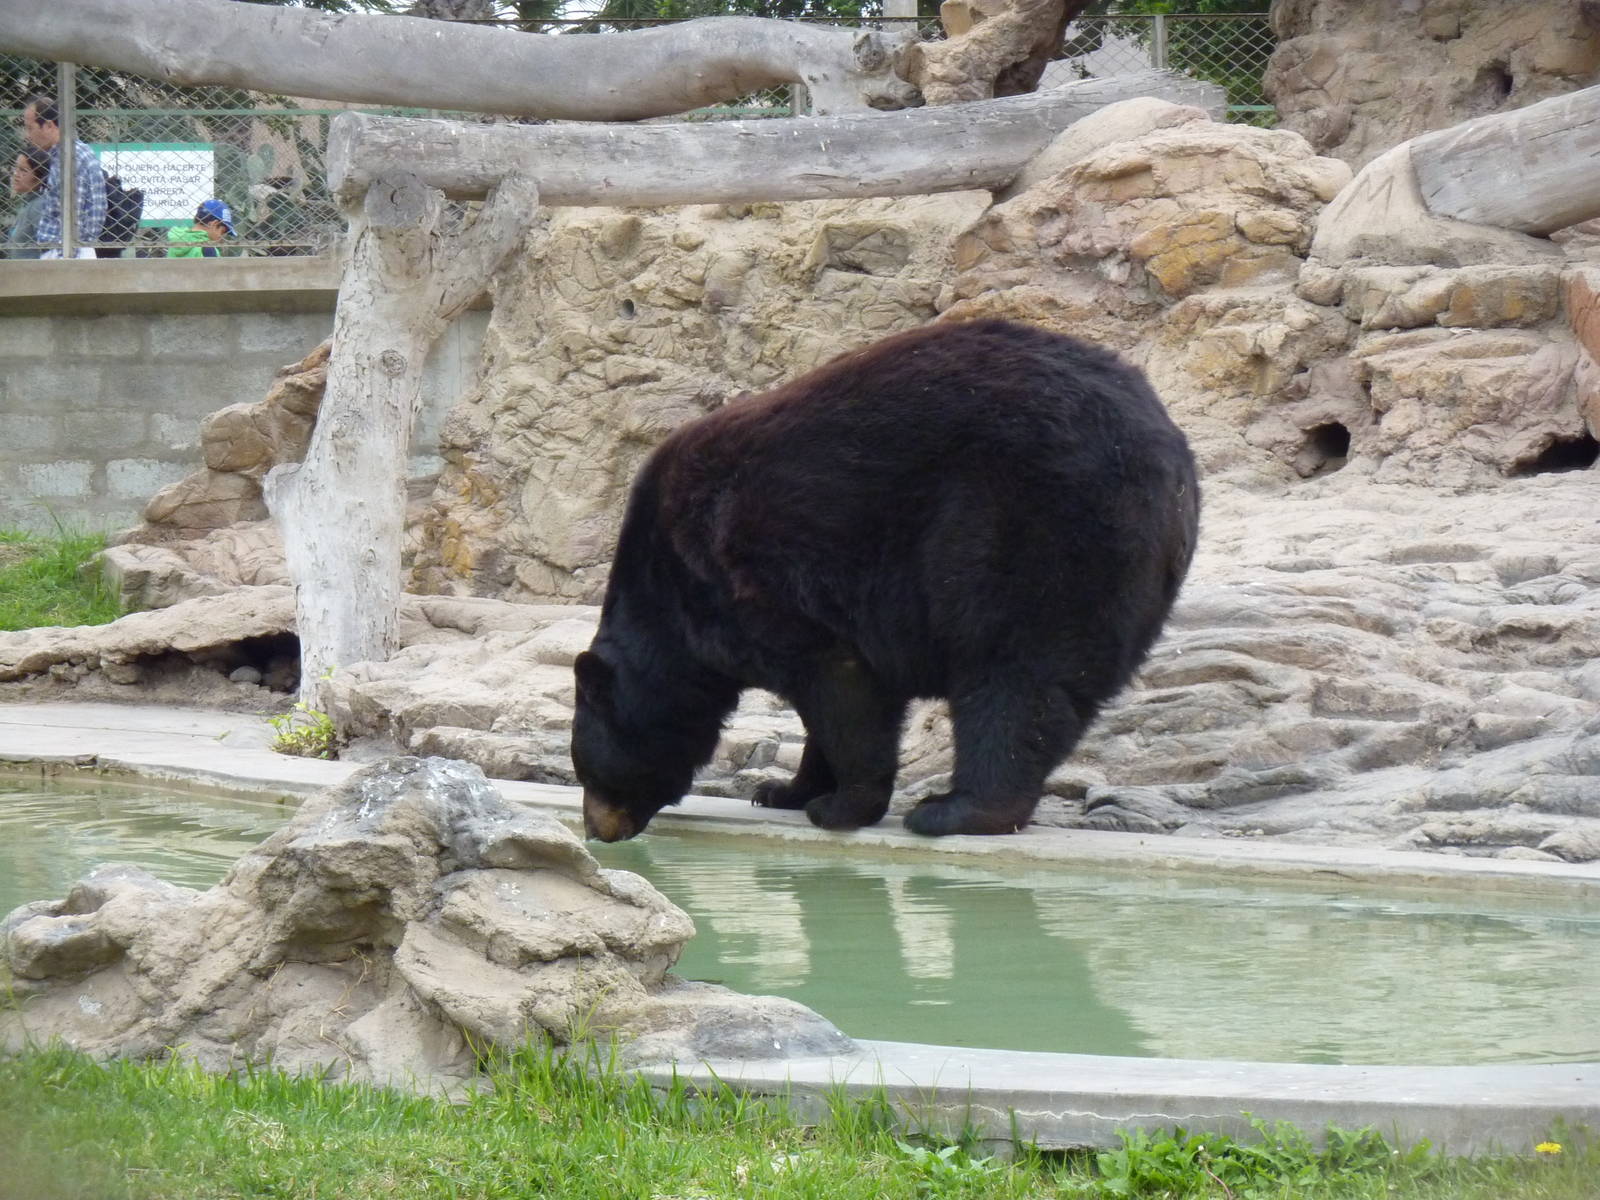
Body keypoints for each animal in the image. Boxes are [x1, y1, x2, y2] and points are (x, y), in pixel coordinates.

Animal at [572, 318, 1199, 842]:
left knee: (1016, 675)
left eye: (589, 770)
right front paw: (783, 789)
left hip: (1033, 527)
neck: (668, 593)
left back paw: (955, 810)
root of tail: (1172, 461)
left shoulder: (761, 587)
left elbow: (845, 692)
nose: (598, 830)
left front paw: (840, 805)